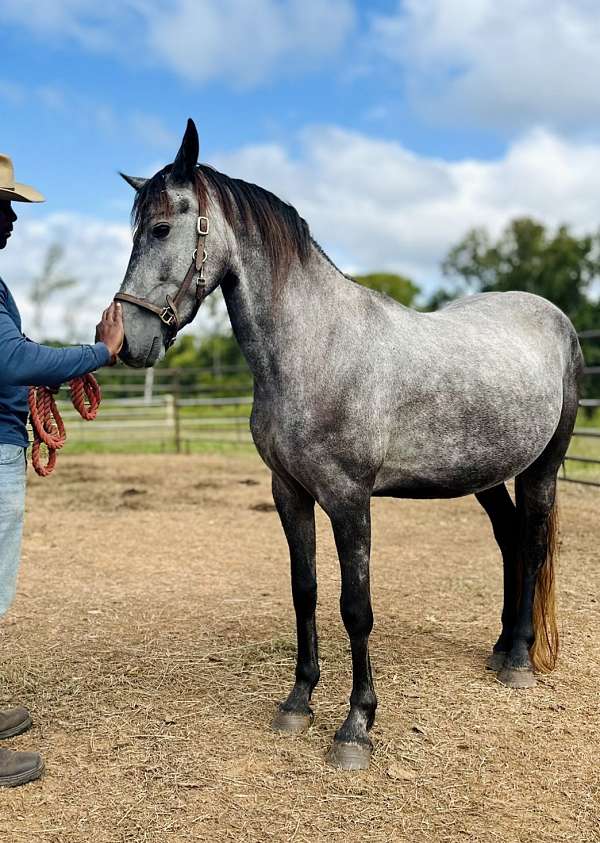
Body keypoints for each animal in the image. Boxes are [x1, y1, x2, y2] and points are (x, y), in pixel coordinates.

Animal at [115, 118, 584, 772]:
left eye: (160, 228)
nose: (127, 340)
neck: (315, 347)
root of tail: (553, 318)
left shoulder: (349, 500)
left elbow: (355, 608)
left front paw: (356, 727)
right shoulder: (289, 493)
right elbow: (305, 592)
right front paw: (297, 702)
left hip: (544, 467)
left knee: (535, 545)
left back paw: (518, 660)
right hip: (485, 476)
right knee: (511, 542)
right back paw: (499, 647)